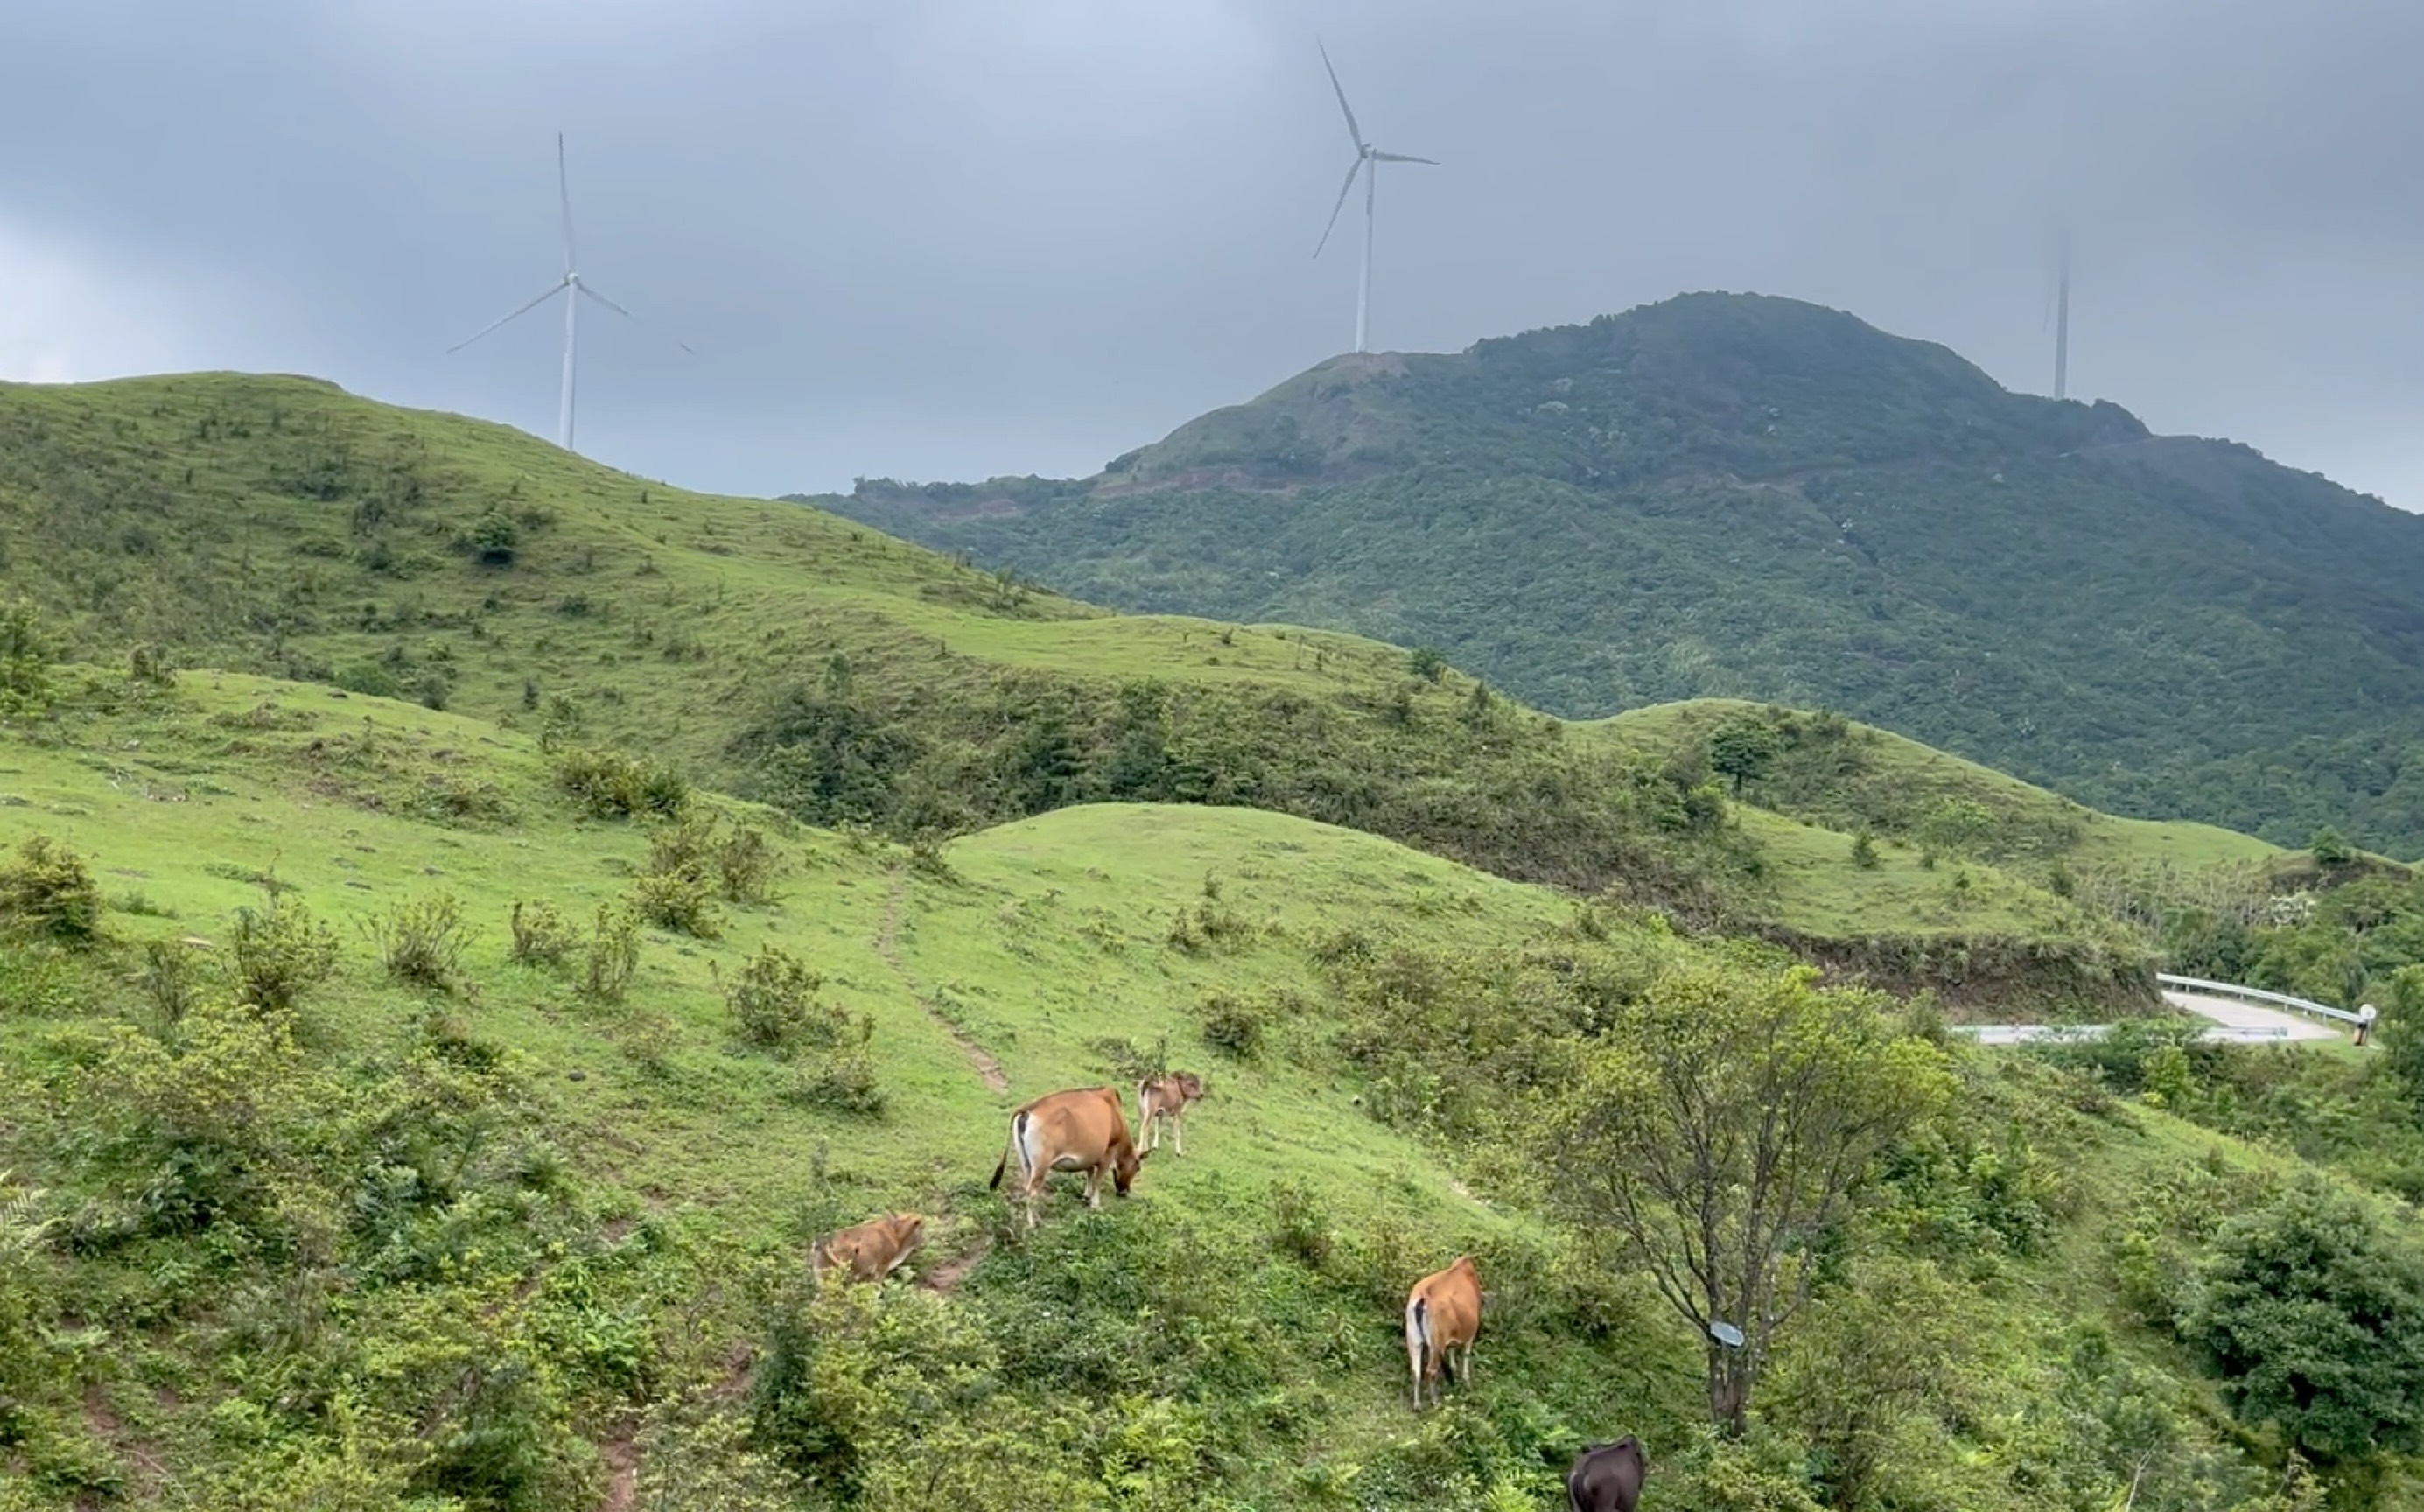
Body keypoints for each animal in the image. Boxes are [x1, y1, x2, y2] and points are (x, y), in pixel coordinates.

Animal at [979, 1085, 1148, 1230]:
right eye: (1138, 1168)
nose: (1125, 1192)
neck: (1114, 1112)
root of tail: (1031, 1107)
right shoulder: (1109, 1150)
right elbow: (1097, 1179)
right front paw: (1095, 1204)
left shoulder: (1090, 1155)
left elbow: (1090, 1173)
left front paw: (1086, 1196)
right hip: (1042, 1164)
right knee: (1032, 1192)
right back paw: (1033, 1224)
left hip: (1027, 1162)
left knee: (1028, 1187)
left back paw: (1037, 1218)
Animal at [1405, 1250, 1474, 1405]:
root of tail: (1424, 1295)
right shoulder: (1470, 1334)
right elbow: (1466, 1355)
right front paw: (1466, 1379)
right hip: (1436, 1345)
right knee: (1430, 1371)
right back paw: (1435, 1401)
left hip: (1414, 1340)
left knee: (1415, 1372)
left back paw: (1417, 1404)